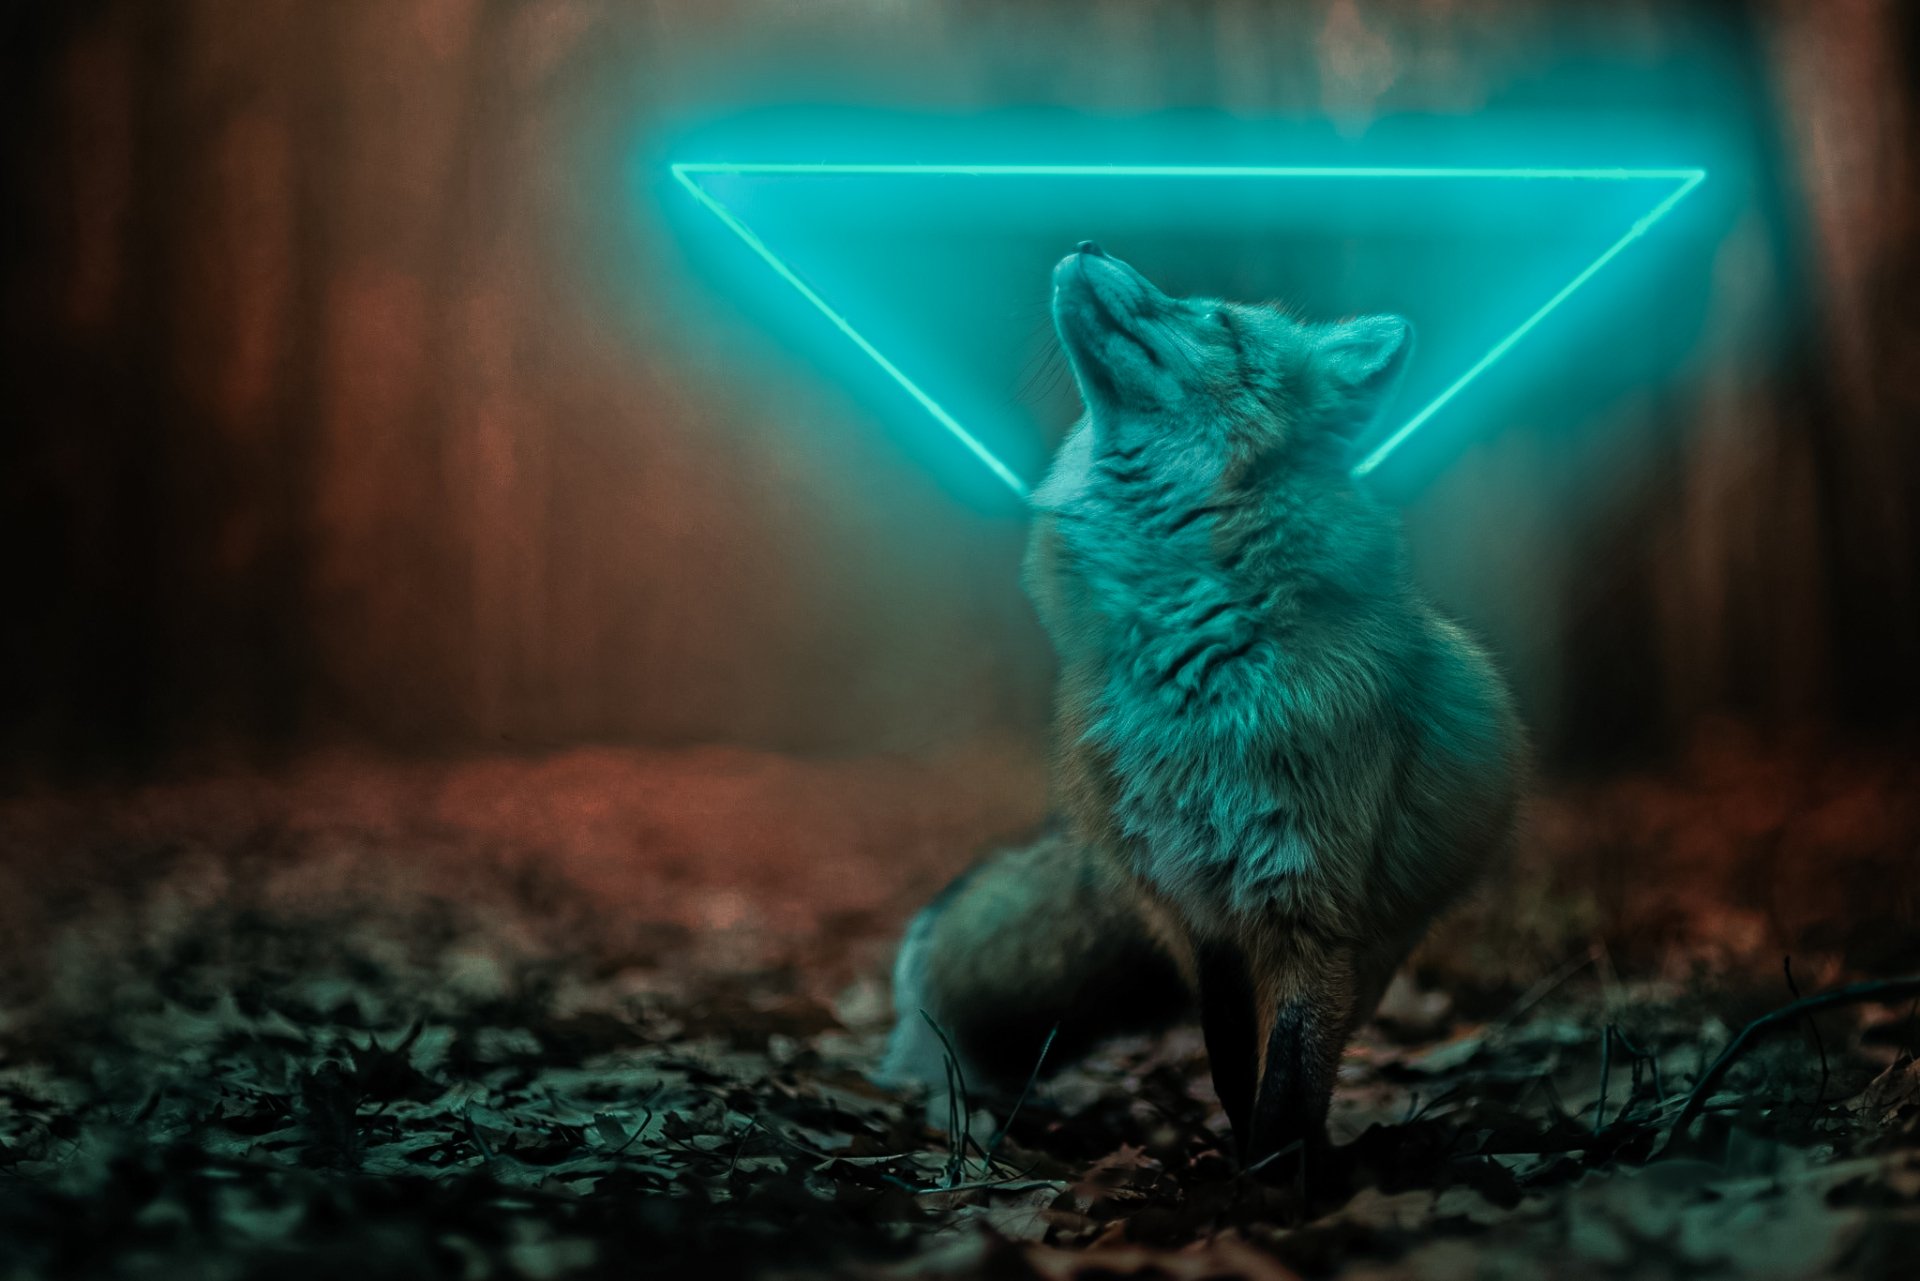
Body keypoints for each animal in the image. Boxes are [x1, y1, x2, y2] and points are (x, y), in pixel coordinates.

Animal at [880, 242, 1526, 1173]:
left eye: (1217, 320)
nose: (1087, 246)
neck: (1194, 682)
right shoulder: (1195, 907)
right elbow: (1230, 1065)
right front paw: (1243, 1170)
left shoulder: (1311, 905)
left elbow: (1288, 1081)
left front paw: (1277, 1182)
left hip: (1378, 943)